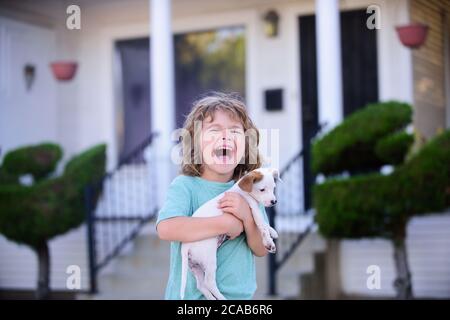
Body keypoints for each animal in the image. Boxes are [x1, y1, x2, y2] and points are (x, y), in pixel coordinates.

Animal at [180, 168, 280, 300]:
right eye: (262, 189)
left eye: (273, 188)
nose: (274, 202)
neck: (243, 191)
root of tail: (185, 246)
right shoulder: (253, 208)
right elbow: (262, 225)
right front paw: (269, 242)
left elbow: (265, 224)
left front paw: (272, 231)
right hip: (209, 259)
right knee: (209, 282)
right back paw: (222, 298)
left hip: (195, 266)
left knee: (201, 285)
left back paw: (211, 298)